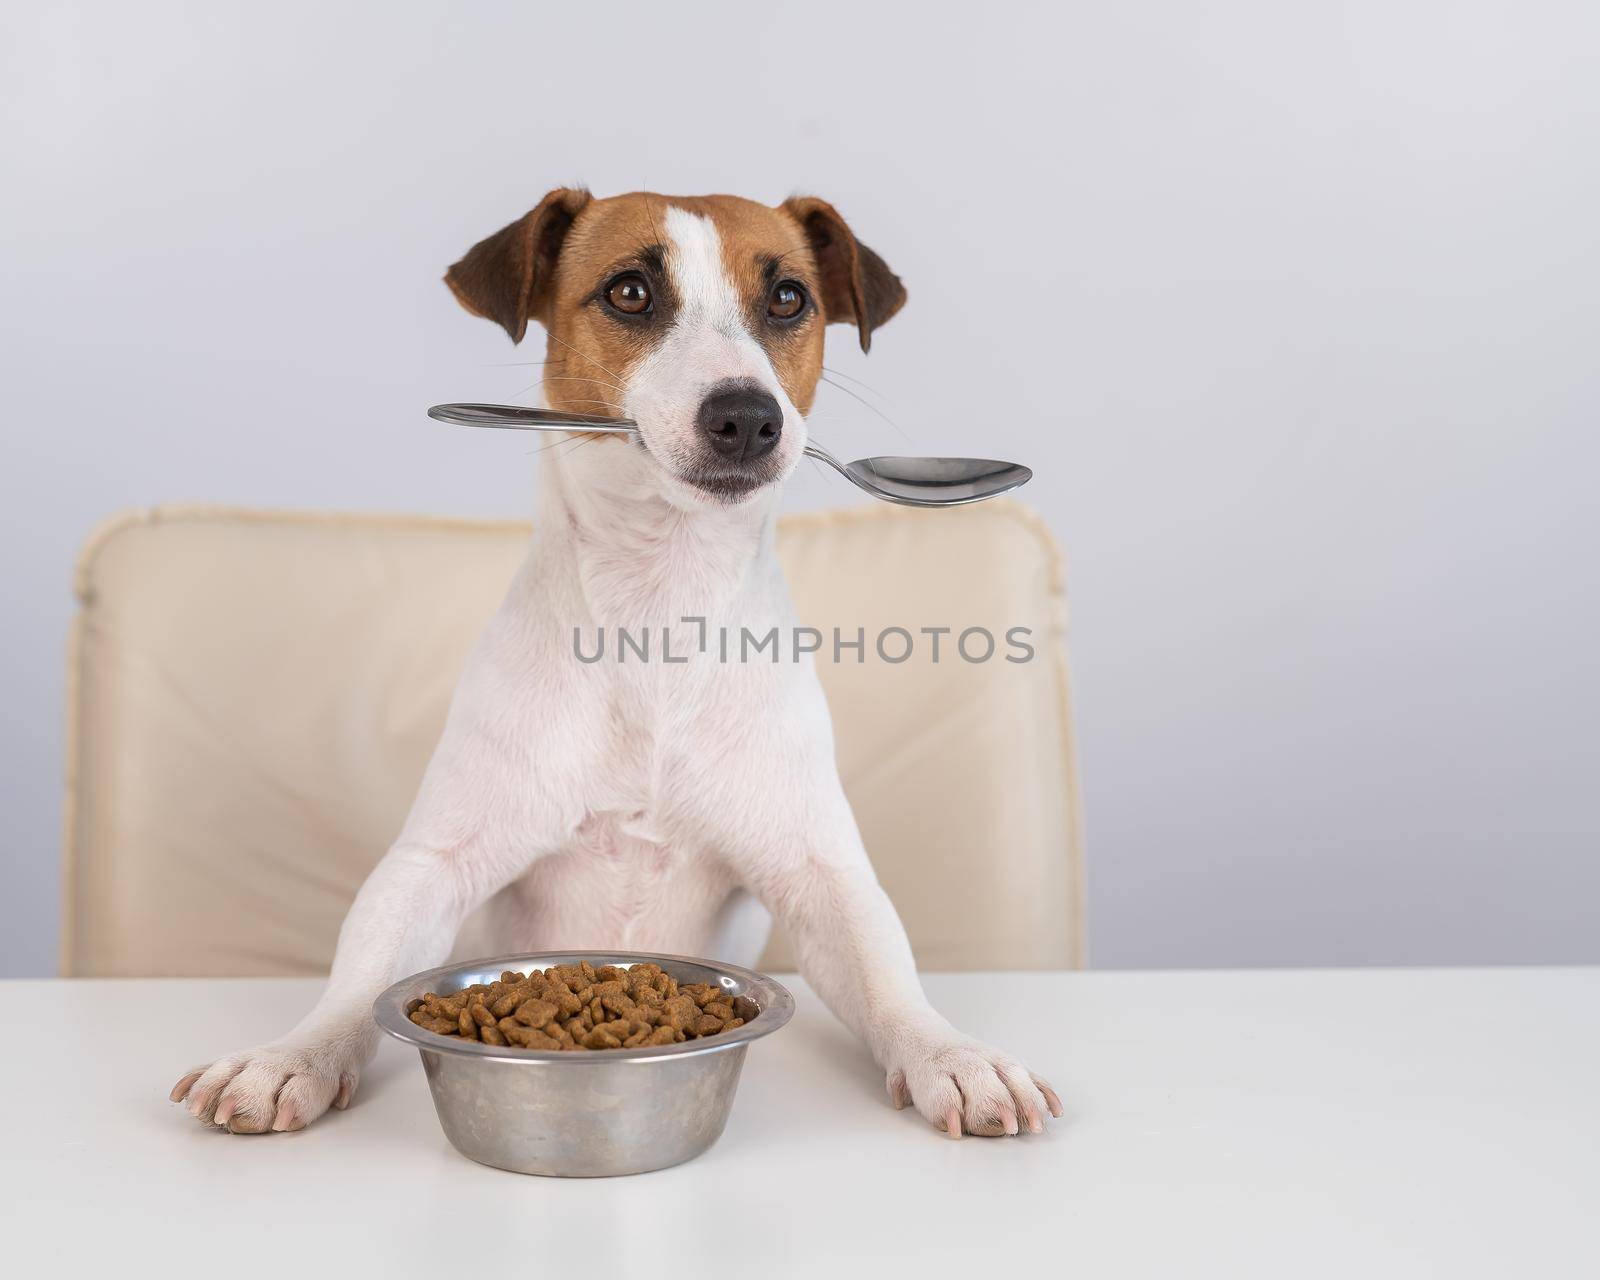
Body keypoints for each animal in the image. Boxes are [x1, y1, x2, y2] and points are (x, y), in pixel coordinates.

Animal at [172, 192, 1062, 1139]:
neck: (657, 609)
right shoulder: (433, 864)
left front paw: (954, 1056)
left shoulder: (820, 875)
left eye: (788, 298)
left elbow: (888, 978)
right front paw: (291, 1058)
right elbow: (356, 979)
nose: (747, 415)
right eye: (629, 291)